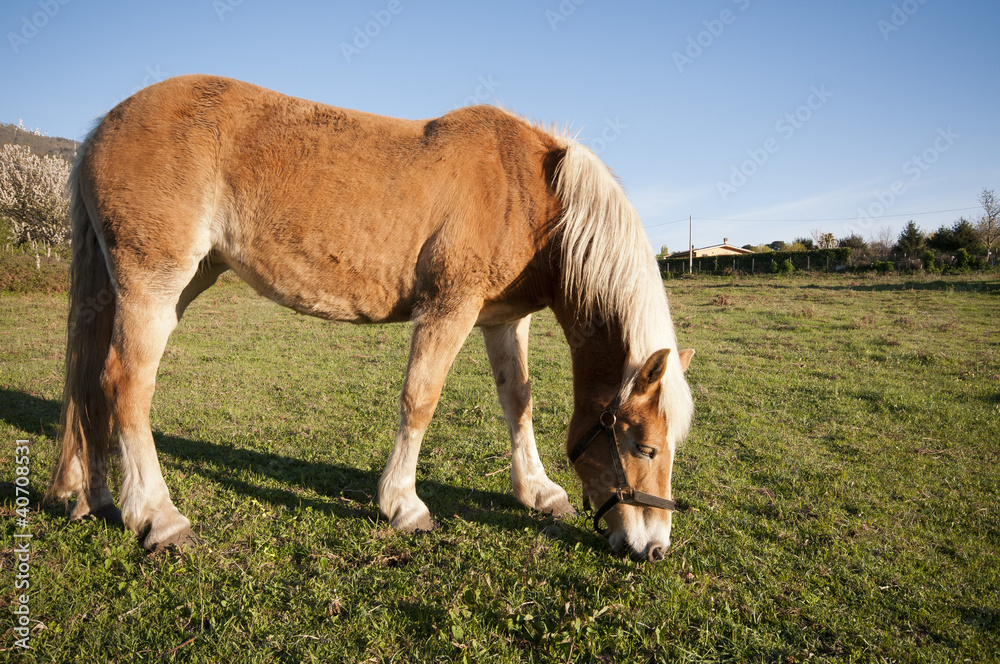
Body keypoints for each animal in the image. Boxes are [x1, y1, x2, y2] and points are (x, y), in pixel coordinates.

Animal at [46, 75, 695, 562]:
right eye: (644, 448)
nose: (655, 547)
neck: (534, 193)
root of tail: (100, 128)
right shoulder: (448, 308)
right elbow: (420, 399)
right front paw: (403, 504)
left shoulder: (502, 320)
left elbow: (519, 401)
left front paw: (537, 491)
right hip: (153, 285)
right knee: (125, 384)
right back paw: (158, 516)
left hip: (161, 286)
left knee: (92, 385)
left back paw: (93, 497)